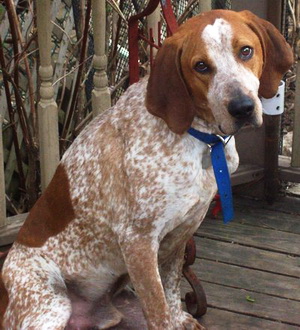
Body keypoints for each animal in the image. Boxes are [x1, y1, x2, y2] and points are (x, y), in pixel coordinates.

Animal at [0, 9, 292, 328]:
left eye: (246, 51)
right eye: (201, 66)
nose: (242, 108)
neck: (197, 137)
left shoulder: (182, 232)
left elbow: (172, 291)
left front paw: (180, 317)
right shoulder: (138, 242)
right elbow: (159, 311)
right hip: (51, 305)